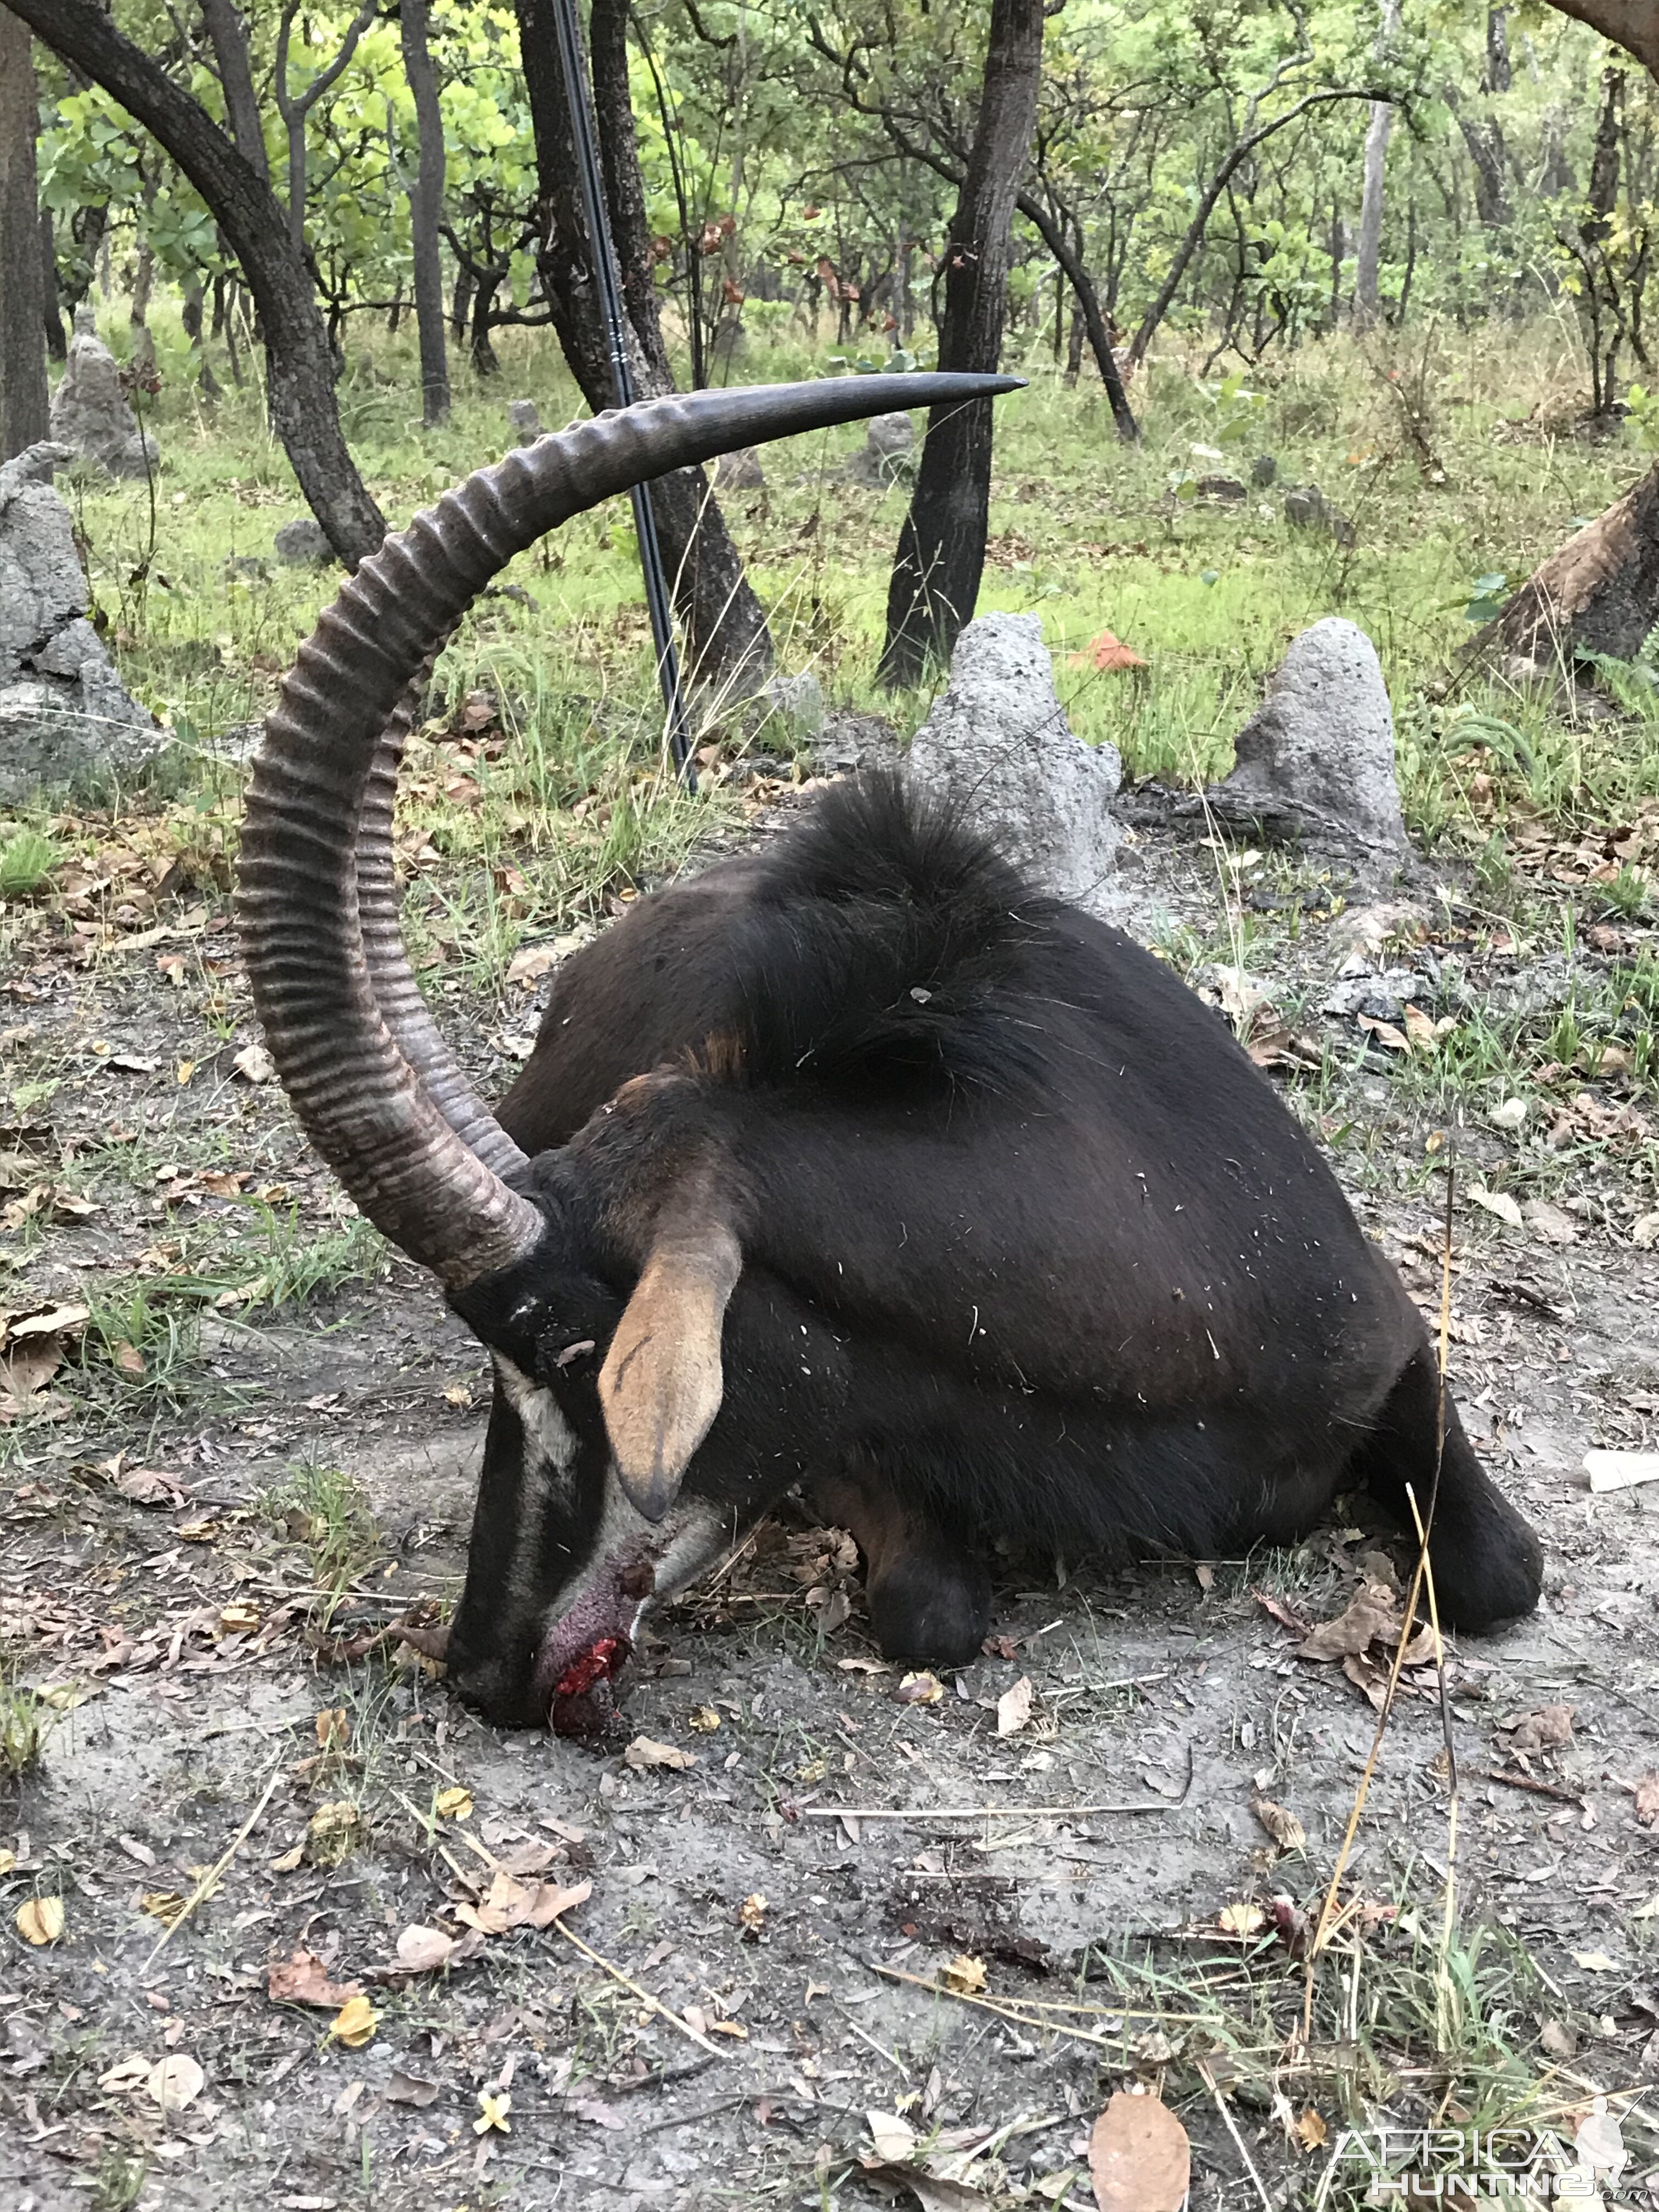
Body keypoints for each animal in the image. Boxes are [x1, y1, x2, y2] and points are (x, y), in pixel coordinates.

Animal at [240, 380, 1557, 1734]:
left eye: (565, 1349)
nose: (481, 1667)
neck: (1166, 1275)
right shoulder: (851, 1438)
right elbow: (932, 1606)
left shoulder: (1390, 1341)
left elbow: (1504, 1570)